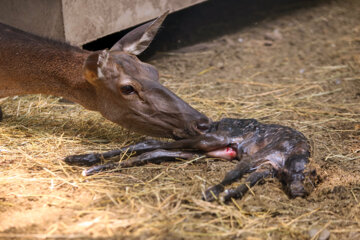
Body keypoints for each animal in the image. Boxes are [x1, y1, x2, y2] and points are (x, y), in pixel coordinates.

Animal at [64, 118, 312, 202]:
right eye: (304, 176)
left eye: (311, 181)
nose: (300, 192)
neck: (294, 153)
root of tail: (216, 122)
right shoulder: (258, 157)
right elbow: (233, 174)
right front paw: (211, 192)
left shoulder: (266, 168)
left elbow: (244, 185)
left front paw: (226, 195)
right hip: (209, 141)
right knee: (148, 143)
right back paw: (81, 159)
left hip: (196, 152)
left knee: (152, 151)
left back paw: (93, 166)